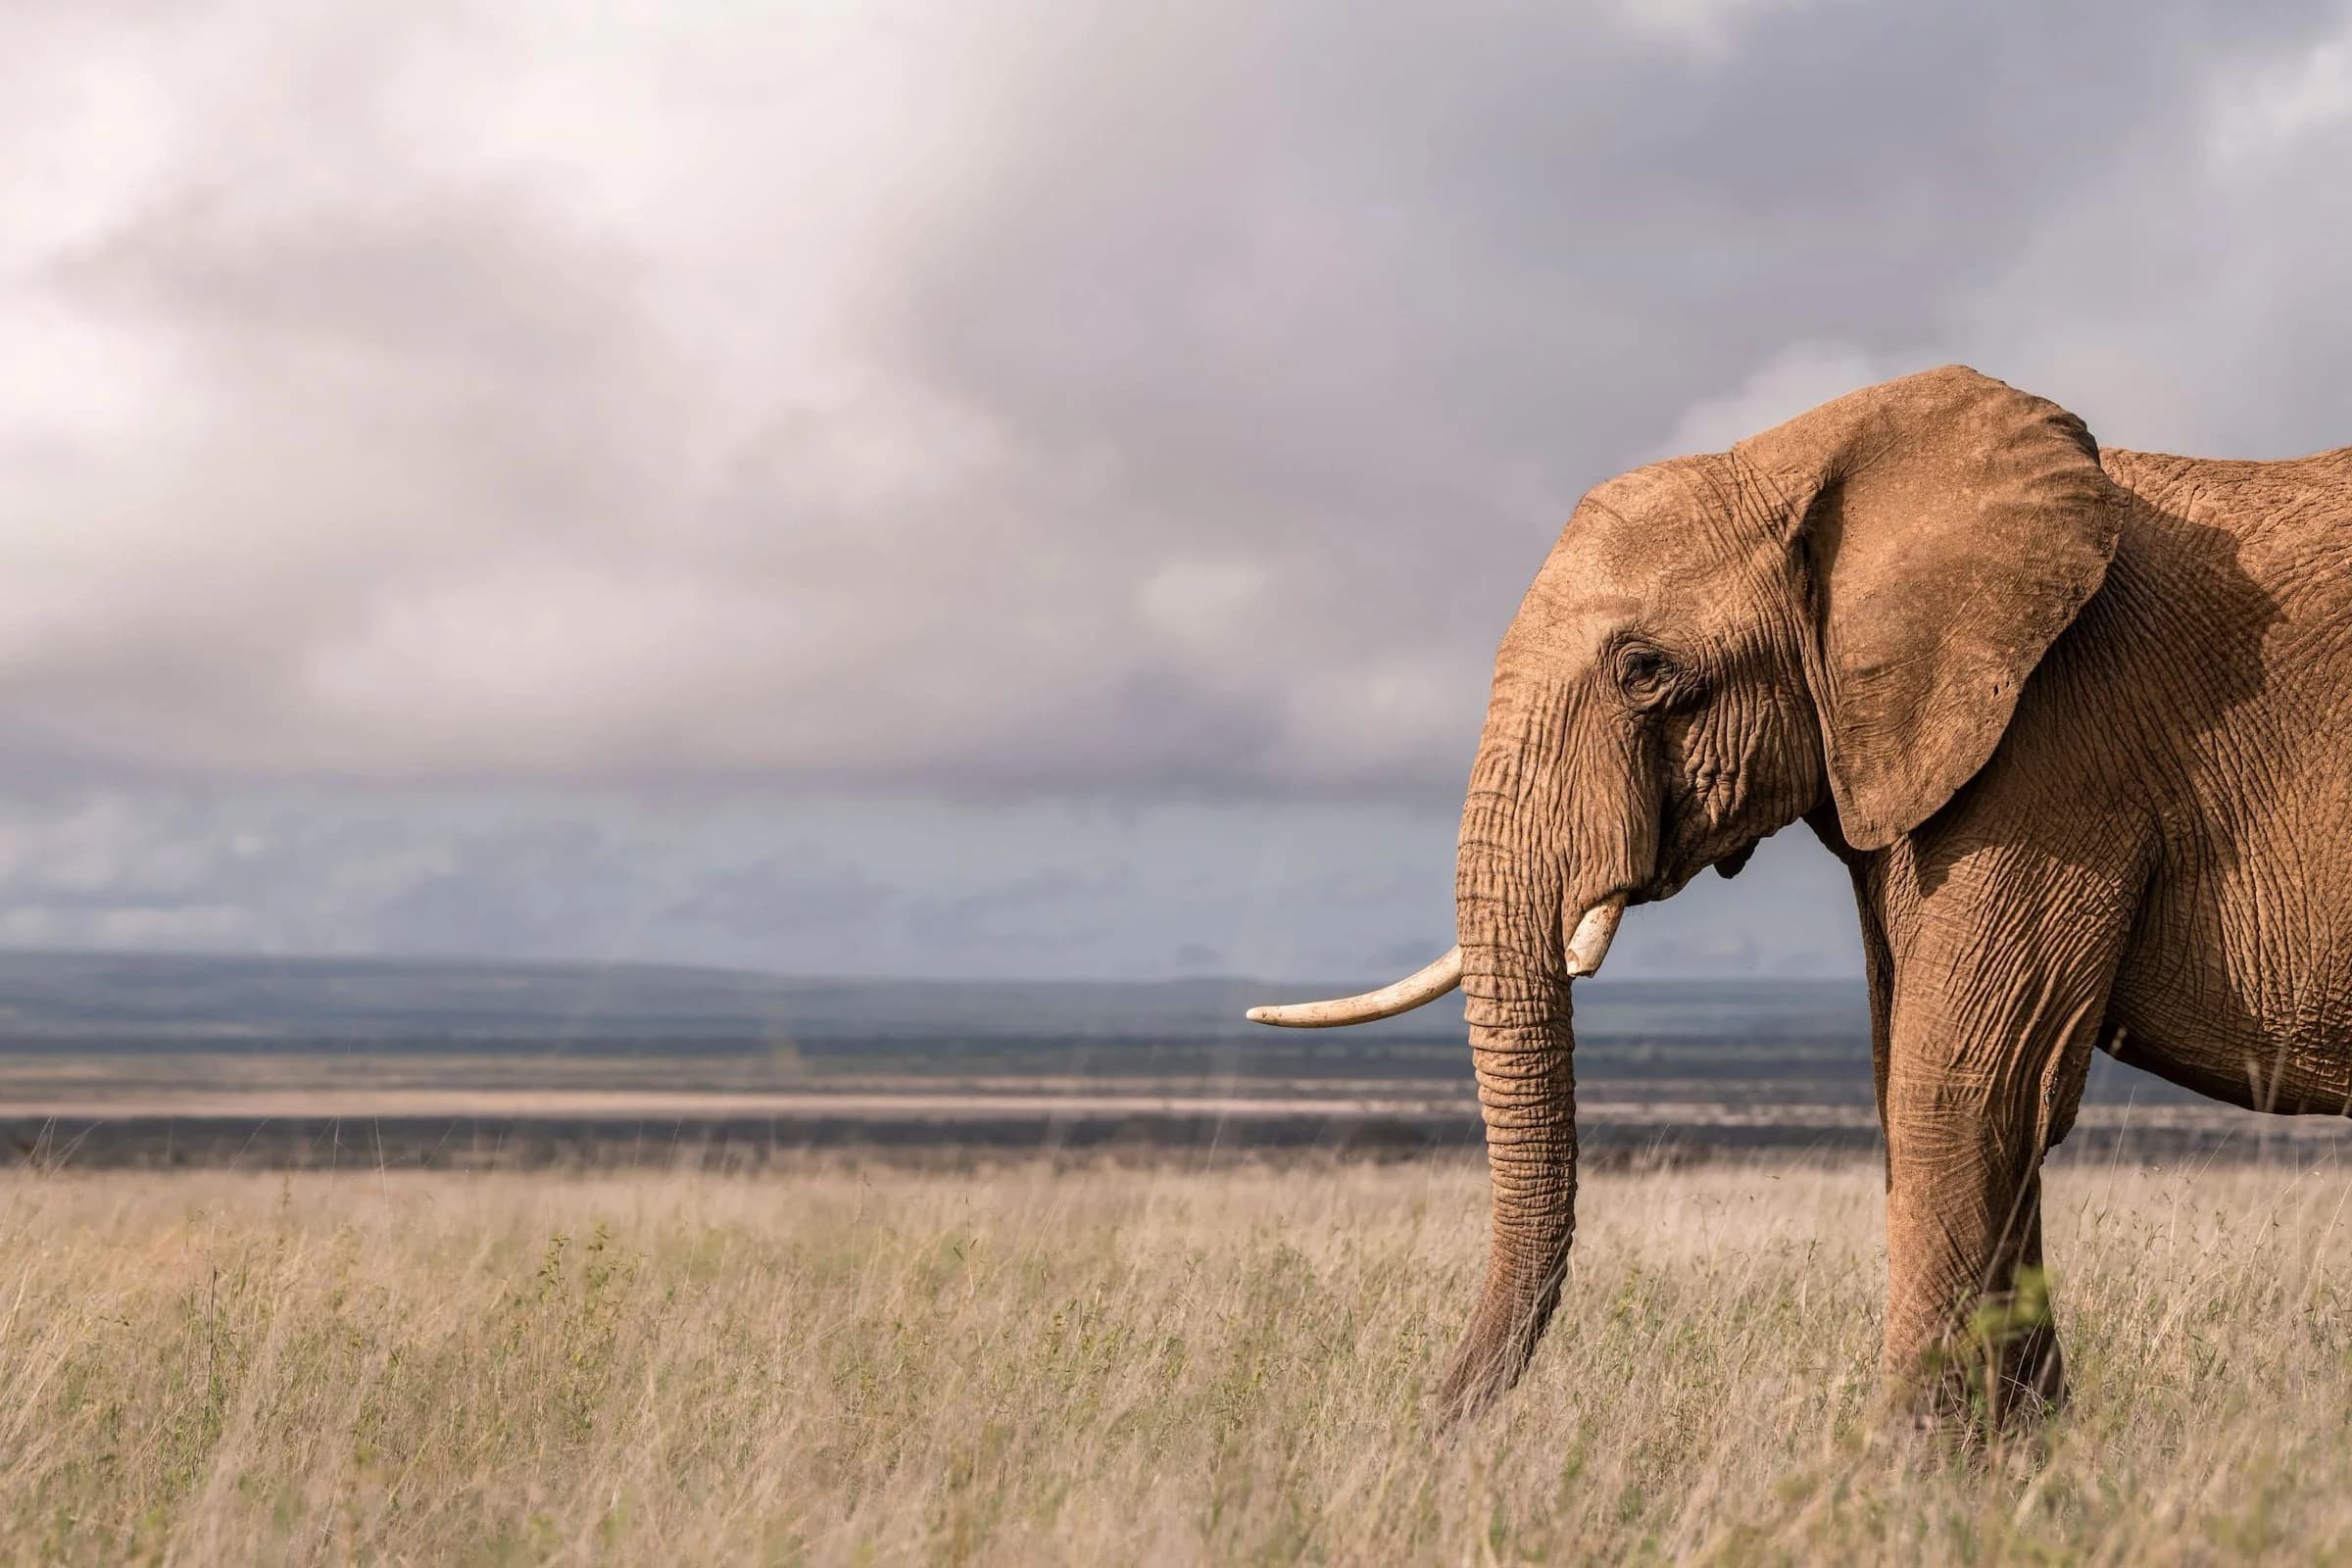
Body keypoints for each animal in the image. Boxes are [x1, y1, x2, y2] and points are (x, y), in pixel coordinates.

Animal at [1248, 366, 2352, 1429]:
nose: (1428, 1428)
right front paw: (2022, 1467)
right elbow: (1931, 1085)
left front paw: (1905, 1472)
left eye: (1646, 670)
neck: (1811, 460)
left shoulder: (2060, 752)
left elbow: (1964, 1085)